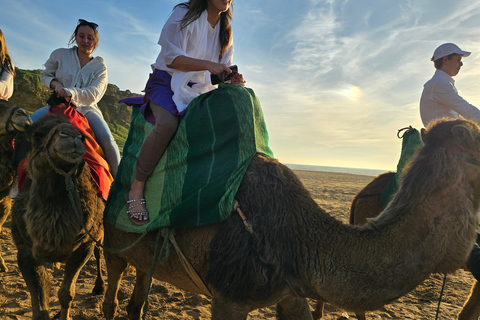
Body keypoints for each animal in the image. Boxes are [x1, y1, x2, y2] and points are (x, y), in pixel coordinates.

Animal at [9, 115, 105, 320]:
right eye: (36, 135)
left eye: (83, 136)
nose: (72, 137)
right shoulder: (24, 251)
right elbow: (39, 302)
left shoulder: (84, 246)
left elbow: (66, 293)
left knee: (99, 252)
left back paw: (99, 287)